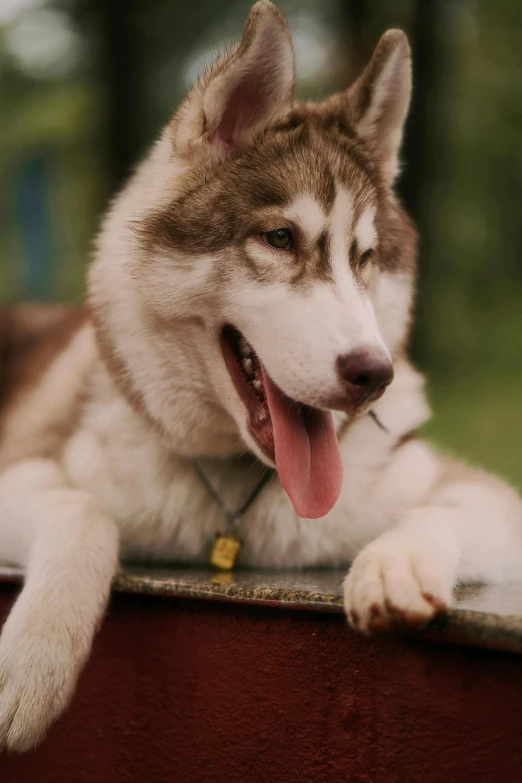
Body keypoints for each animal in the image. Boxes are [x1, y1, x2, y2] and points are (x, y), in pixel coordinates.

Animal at [1, 1, 520, 752]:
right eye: (279, 239)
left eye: (365, 257)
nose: (375, 374)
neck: (234, 510)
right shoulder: (27, 468)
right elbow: (80, 510)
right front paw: (34, 661)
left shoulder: (486, 499)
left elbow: (440, 509)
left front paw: (394, 563)